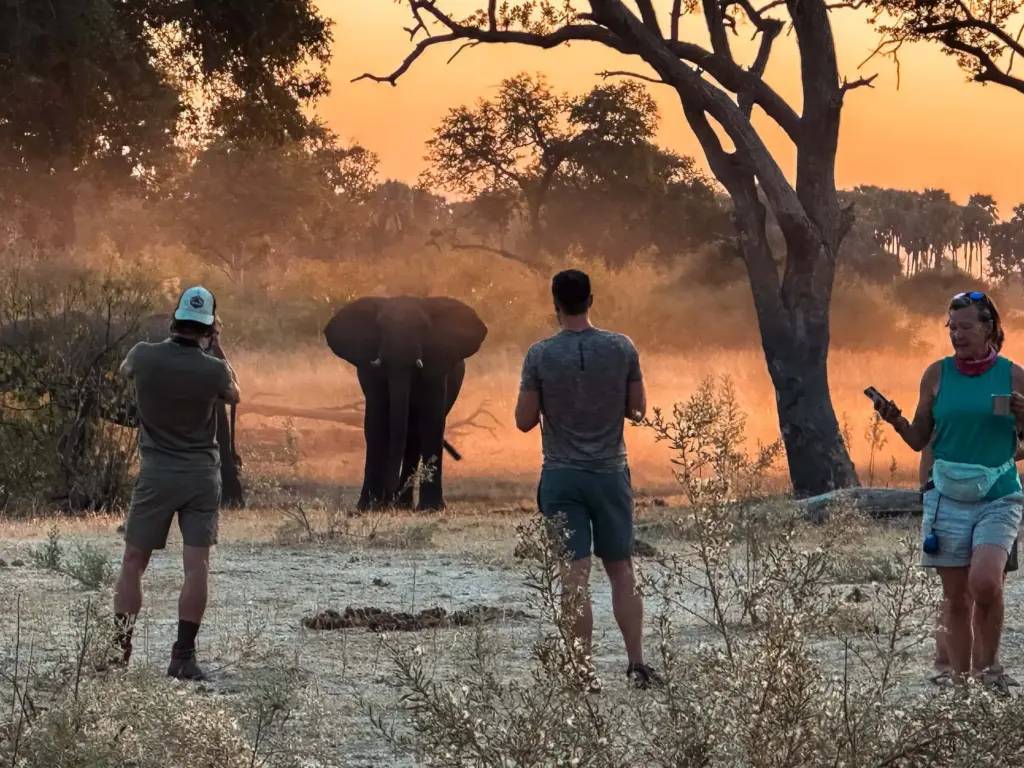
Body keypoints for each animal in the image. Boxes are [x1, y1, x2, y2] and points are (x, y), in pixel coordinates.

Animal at [323, 296, 488, 512]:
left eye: (423, 328)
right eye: (380, 327)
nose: (388, 499)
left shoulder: (437, 366)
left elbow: (431, 421)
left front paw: (431, 509)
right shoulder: (370, 370)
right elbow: (376, 422)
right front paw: (367, 507)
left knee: (414, 435)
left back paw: (404, 504)